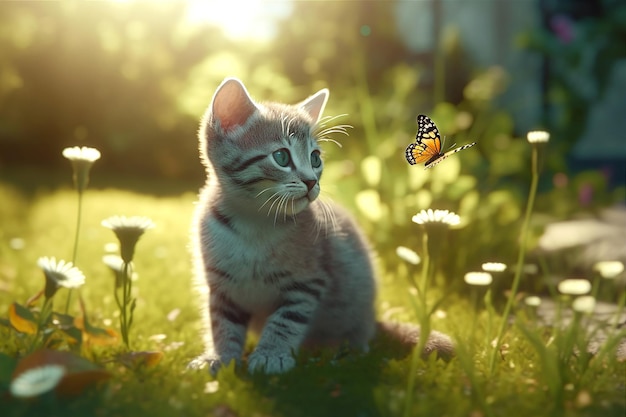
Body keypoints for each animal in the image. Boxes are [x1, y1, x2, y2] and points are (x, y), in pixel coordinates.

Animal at [191, 78, 454, 374]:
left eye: (315, 158)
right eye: (281, 157)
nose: (311, 182)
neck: (254, 220)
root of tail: (371, 319)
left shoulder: (307, 281)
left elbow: (286, 320)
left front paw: (271, 353)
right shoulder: (220, 283)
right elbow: (221, 321)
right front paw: (221, 357)